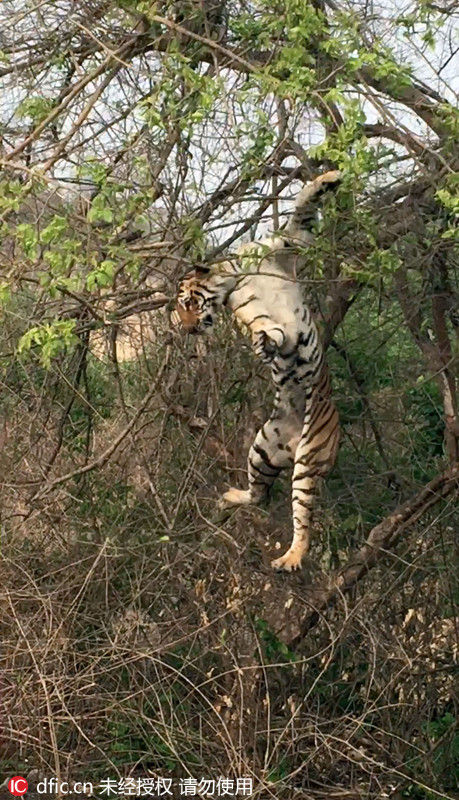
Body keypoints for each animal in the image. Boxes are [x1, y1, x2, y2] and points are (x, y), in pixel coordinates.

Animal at [175, 169, 342, 572]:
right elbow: (267, 326)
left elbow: (303, 205)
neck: (236, 275)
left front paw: (330, 177)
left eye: (188, 303)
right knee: (269, 502)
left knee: (290, 512)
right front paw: (267, 345)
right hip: (265, 450)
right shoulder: (251, 312)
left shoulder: (292, 242)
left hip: (304, 459)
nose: (187, 329)